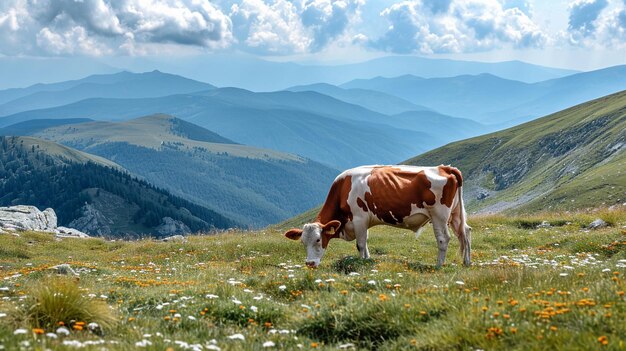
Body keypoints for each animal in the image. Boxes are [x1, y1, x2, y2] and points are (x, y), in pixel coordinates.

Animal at [282, 166, 468, 268]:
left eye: (318, 240)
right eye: (302, 242)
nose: (310, 264)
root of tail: (444, 168)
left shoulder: (359, 219)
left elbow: (360, 245)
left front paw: (361, 263)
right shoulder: (363, 223)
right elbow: (366, 243)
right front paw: (368, 260)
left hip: (439, 214)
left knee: (444, 239)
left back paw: (438, 265)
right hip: (456, 213)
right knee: (465, 233)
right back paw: (467, 262)